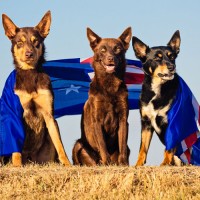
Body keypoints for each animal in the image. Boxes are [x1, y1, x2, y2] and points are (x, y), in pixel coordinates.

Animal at [1, 11, 71, 167]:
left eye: (36, 42)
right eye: (19, 43)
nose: (29, 54)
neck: (30, 73)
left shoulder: (49, 115)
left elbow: (60, 145)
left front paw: (67, 164)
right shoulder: (14, 114)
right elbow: (15, 146)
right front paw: (16, 165)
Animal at [72, 27, 133, 166]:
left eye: (117, 49)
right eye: (103, 50)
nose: (110, 58)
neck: (109, 85)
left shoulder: (123, 119)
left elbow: (122, 144)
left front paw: (123, 163)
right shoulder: (97, 120)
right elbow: (102, 145)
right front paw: (107, 162)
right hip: (78, 145)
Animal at [132, 30, 182, 166]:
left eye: (172, 57)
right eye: (157, 58)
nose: (172, 67)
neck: (157, 90)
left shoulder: (172, 122)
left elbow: (169, 147)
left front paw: (165, 163)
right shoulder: (146, 122)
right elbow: (142, 148)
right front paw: (138, 164)